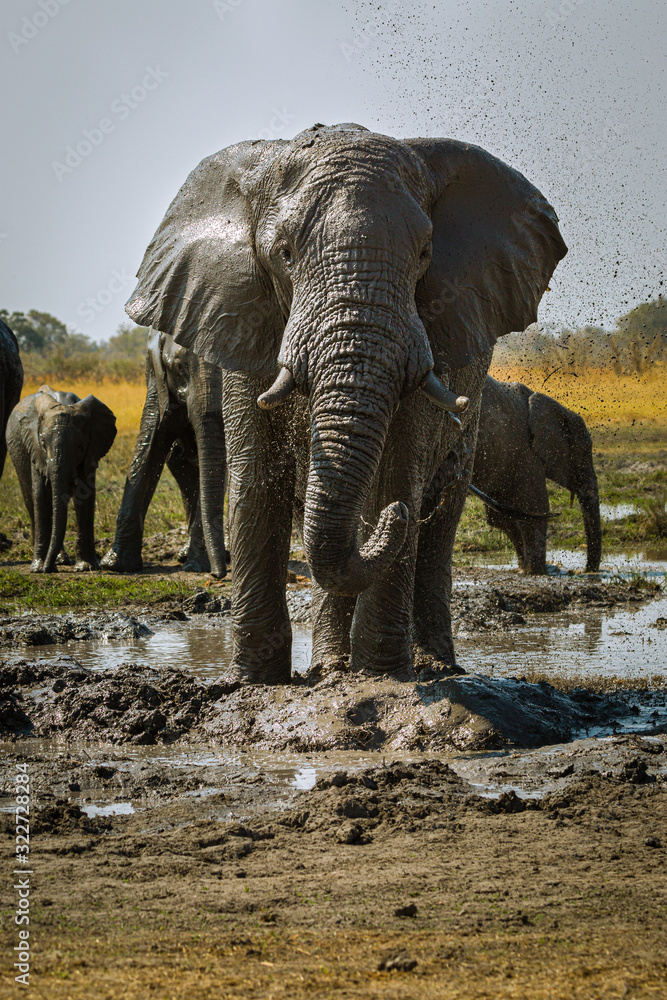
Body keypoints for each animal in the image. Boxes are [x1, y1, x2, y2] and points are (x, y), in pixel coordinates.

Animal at [6, 385, 116, 572]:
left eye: (80, 446)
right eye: (43, 444)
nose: (48, 569)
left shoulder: (91, 450)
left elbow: (85, 495)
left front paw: (86, 567)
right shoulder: (35, 449)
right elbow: (41, 496)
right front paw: (38, 569)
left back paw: (61, 560)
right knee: (30, 500)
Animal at [101, 330, 228, 577]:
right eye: (179, 367)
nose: (218, 575)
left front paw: (197, 567)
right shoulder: (156, 379)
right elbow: (149, 444)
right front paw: (115, 565)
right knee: (181, 468)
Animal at [125, 122, 566, 683]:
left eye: (425, 255)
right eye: (285, 254)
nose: (394, 518)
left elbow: (400, 468)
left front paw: (384, 674)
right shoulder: (246, 317)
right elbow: (256, 474)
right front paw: (253, 681)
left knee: (440, 517)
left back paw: (433, 666)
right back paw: (332, 668)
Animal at [472, 376, 602, 573]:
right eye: (583, 453)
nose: (585, 571)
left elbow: (502, 517)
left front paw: (523, 570)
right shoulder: (526, 452)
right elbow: (535, 509)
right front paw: (539, 572)